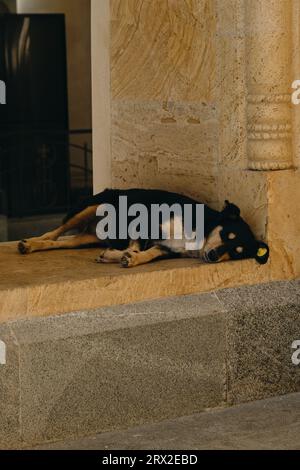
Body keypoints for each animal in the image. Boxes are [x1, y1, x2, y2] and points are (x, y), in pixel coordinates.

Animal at [18, 188, 270, 268]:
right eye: (227, 234)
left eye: (237, 253)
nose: (215, 255)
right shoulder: (144, 222)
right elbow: (136, 247)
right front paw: (121, 255)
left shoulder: (166, 248)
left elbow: (149, 254)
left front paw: (126, 257)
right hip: (88, 208)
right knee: (53, 233)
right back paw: (28, 244)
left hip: (85, 238)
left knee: (59, 242)